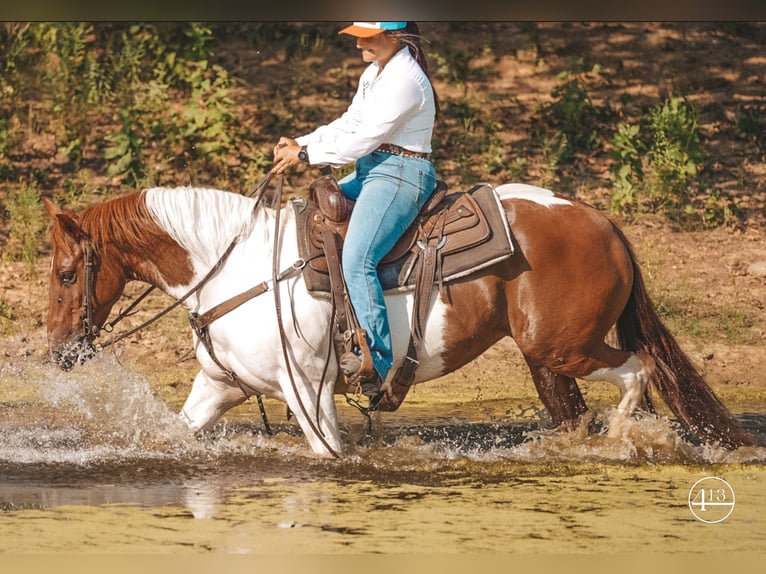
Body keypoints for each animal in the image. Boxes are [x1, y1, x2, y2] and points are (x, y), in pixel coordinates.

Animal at [45, 184, 760, 460]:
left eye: (65, 274)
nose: (57, 354)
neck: (237, 268)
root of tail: (601, 219)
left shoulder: (309, 396)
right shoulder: (219, 387)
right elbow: (177, 431)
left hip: (567, 346)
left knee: (636, 373)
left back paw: (619, 442)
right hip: (543, 359)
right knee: (577, 412)